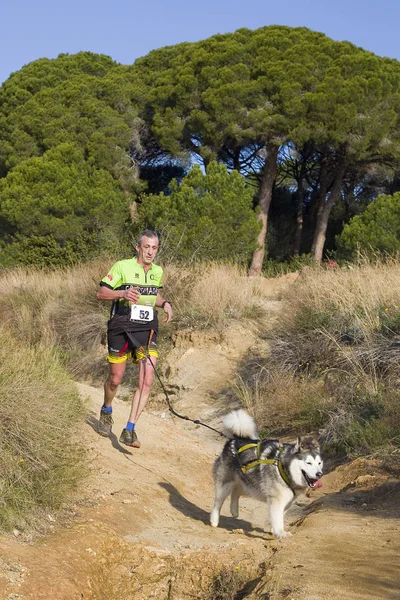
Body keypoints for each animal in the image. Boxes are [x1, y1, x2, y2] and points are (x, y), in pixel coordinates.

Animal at [211, 410, 324, 540]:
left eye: (319, 463)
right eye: (308, 463)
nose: (319, 474)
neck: (284, 469)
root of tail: (235, 440)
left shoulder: (287, 501)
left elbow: (279, 516)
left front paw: (274, 530)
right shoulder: (276, 500)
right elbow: (277, 517)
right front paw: (280, 533)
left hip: (249, 483)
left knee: (236, 492)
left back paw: (234, 510)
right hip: (226, 484)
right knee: (218, 502)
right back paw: (214, 520)